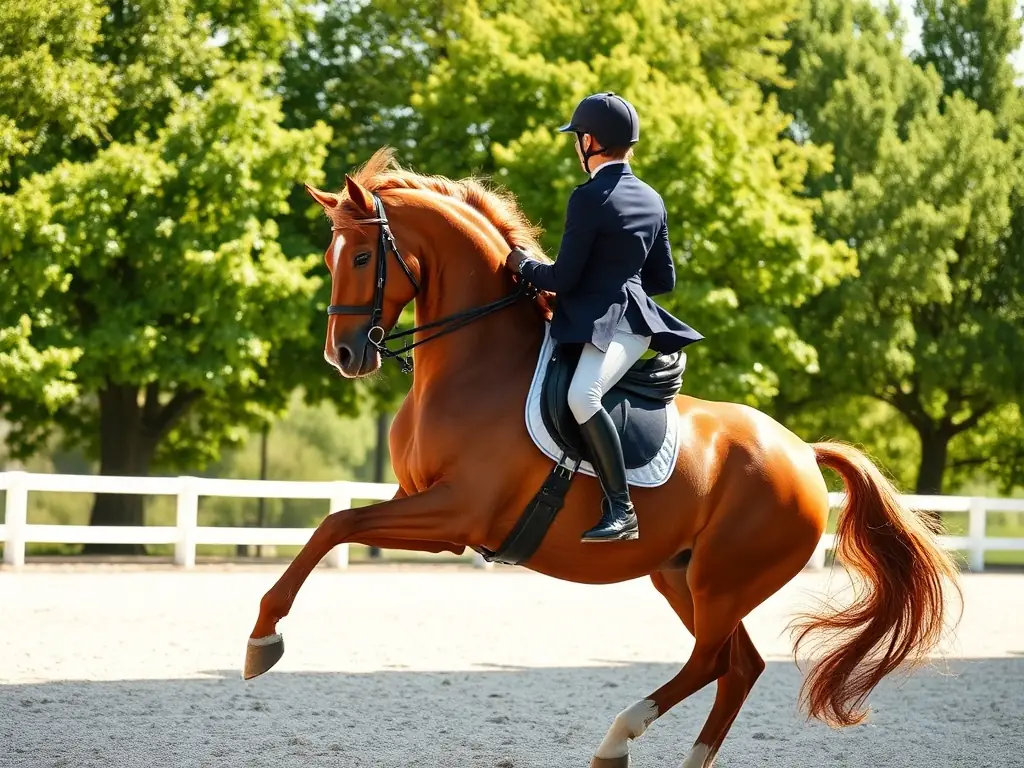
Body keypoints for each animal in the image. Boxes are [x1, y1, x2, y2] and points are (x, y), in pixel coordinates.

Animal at [244, 148, 961, 768]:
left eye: (364, 255)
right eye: (330, 256)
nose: (344, 355)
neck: (475, 365)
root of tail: (803, 453)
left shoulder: (455, 514)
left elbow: (336, 523)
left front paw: (262, 641)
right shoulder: (420, 506)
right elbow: (334, 525)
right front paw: (262, 637)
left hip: (722, 579)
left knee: (712, 662)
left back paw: (618, 738)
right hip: (682, 575)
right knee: (739, 666)